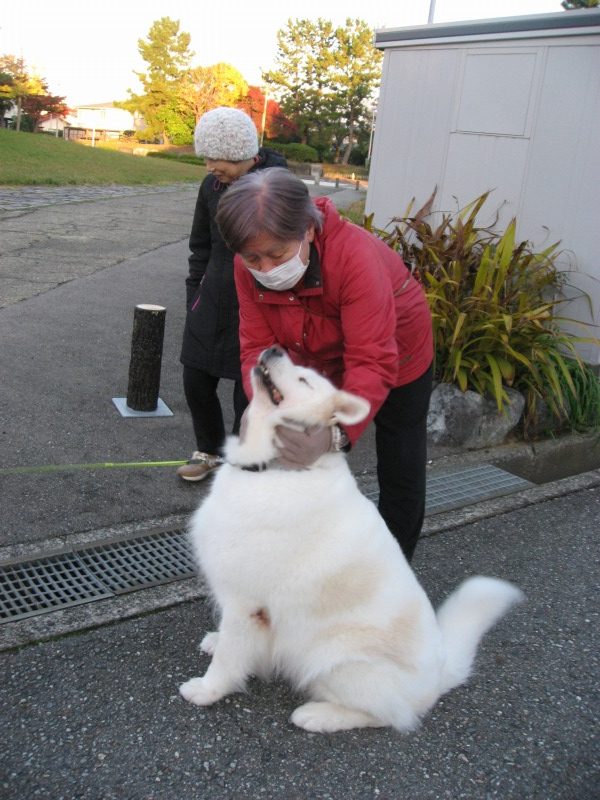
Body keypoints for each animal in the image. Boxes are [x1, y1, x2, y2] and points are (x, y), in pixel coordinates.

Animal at [179, 347, 523, 733]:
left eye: (304, 380)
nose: (274, 349)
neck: (276, 467)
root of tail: (438, 674)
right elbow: (232, 642)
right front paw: (217, 641)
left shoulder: (246, 602)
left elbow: (229, 658)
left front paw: (207, 690)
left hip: (332, 657)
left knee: (387, 715)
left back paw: (317, 715)